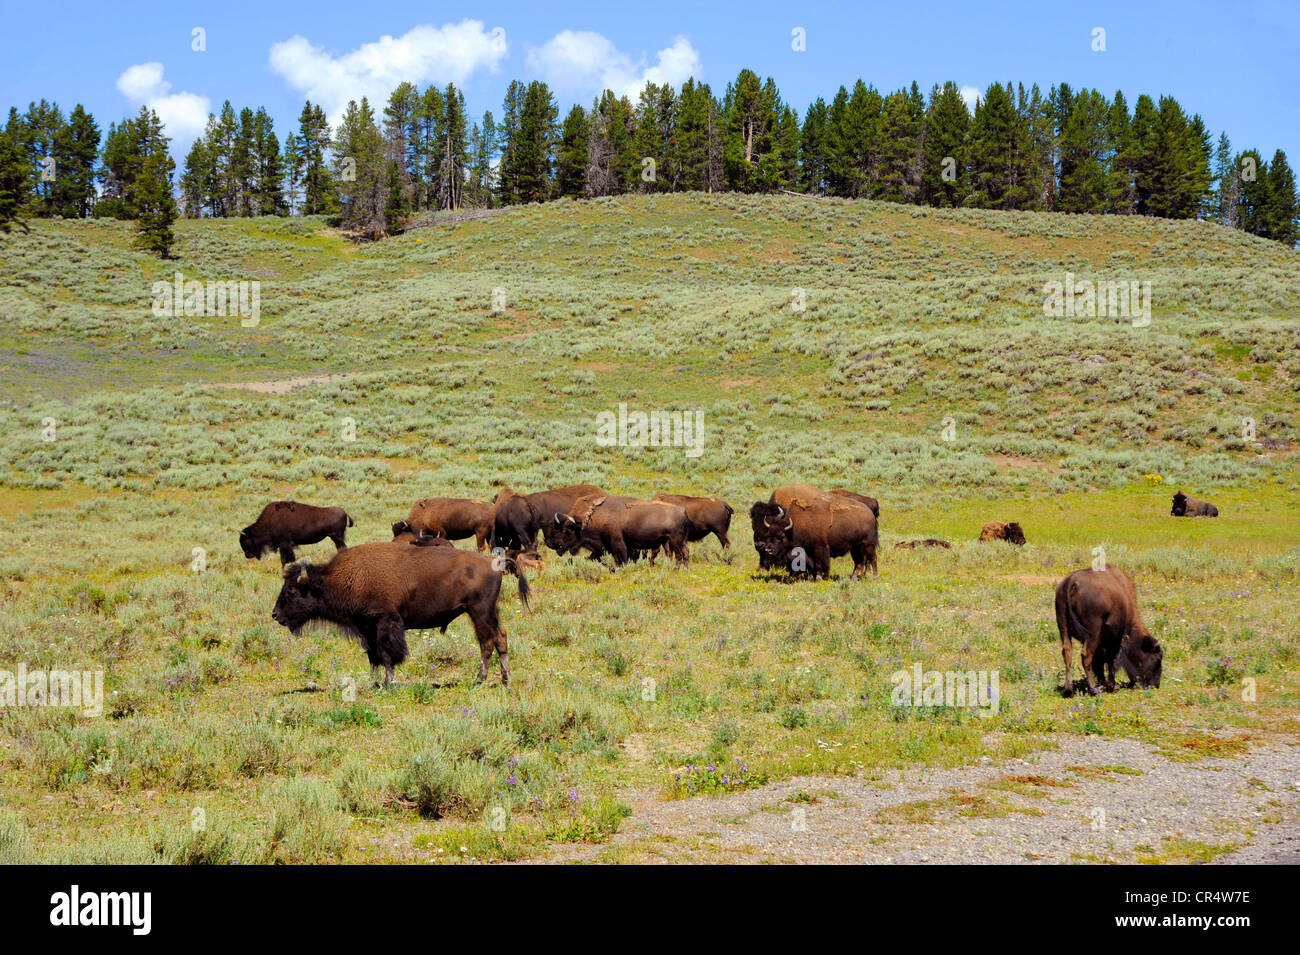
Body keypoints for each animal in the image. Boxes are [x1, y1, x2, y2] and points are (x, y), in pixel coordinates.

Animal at [271, 537, 530, 686]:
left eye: (292, 590)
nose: (275, 615)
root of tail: (495, 563)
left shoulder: (385, 623)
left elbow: (387, 655)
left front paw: (389, 682)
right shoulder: (367, 629)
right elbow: (373, 656)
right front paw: (374, 682)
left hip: (479, 612)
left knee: (487, 643)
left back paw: (480, 680)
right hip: (489, 612)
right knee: (501, 638)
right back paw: (505, 679)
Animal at [543, 493, 696, 566]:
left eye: (567, 530)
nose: (551, 544)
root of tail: (682, 510)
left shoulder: (617, 543)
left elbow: (621, 559)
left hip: (673, 541)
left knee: (676, 554)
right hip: (677, 541)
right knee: (684, 553)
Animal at [748, 485, 878, 582]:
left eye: (780, 536)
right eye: (769, 533)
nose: (767, 548)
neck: (793, 527)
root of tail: (870, 514)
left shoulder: (820, 548)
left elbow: (819, 564)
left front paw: (818, 578)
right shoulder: (807, 551)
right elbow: (811, 565)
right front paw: (811, 578)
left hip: (869, 545)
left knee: (872, 559)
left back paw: (874, 577)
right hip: (856, 547)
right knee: (859, 562)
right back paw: (853, 578)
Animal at [1055, 566, 1170, 696]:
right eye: (1157, 658)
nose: (1156, 685)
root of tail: (1072, 582)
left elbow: (1100, 661)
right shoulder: (1114, 639)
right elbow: (1110, 660)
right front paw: (1110, 685)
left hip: (1063, 628)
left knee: (1067, 653)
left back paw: (1068, 690)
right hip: (1092, 634)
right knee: (1086, 656)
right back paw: (1094, 690)